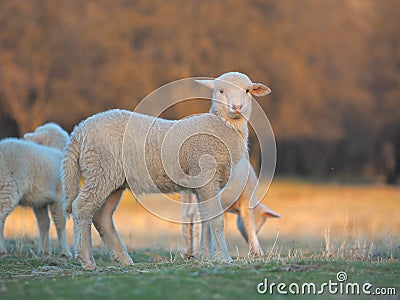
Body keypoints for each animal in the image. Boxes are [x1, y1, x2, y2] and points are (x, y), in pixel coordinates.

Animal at [0, 123, 72, 256]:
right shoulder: (59, 198)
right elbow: (60, 224)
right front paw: (65, 252)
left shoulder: (40, 201)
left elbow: (44, 223)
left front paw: (44, 251)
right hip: (7, 187)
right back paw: (2, 250)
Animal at [63, 71, 272, 270]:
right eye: (220, 91)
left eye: (247, 91)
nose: (237, 107)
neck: (219, 127)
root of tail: (79, 131)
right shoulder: (206, 176)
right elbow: (216, 220)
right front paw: (224, 258)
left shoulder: (204, 185)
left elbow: (205, 220)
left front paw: (206, 257)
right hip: (100, 170)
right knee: (81, 207)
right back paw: (86, 260)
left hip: (113, 178)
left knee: (102, 217)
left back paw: (123, 259)